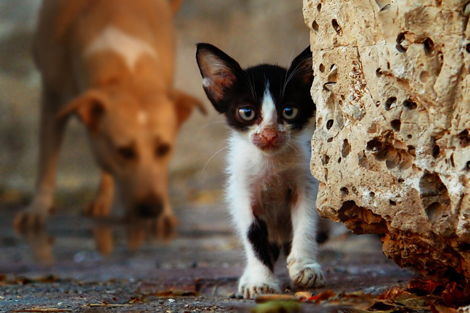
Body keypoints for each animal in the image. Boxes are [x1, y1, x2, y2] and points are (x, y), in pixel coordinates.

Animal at [13, 0, 202, 229]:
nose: (152, 209)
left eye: (164, 149)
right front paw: (38, 208)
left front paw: (164, 212)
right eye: (124, 151)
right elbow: (47, 161)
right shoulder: (52, 100)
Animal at [196, 43, 324, 298]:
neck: (270, 162)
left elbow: (305, 221)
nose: (269, 134)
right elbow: (252, 236)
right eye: (247, 112)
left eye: (289, 111)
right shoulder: (242, 192)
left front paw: (305, 267)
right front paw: (260, 282)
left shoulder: (306, 181)